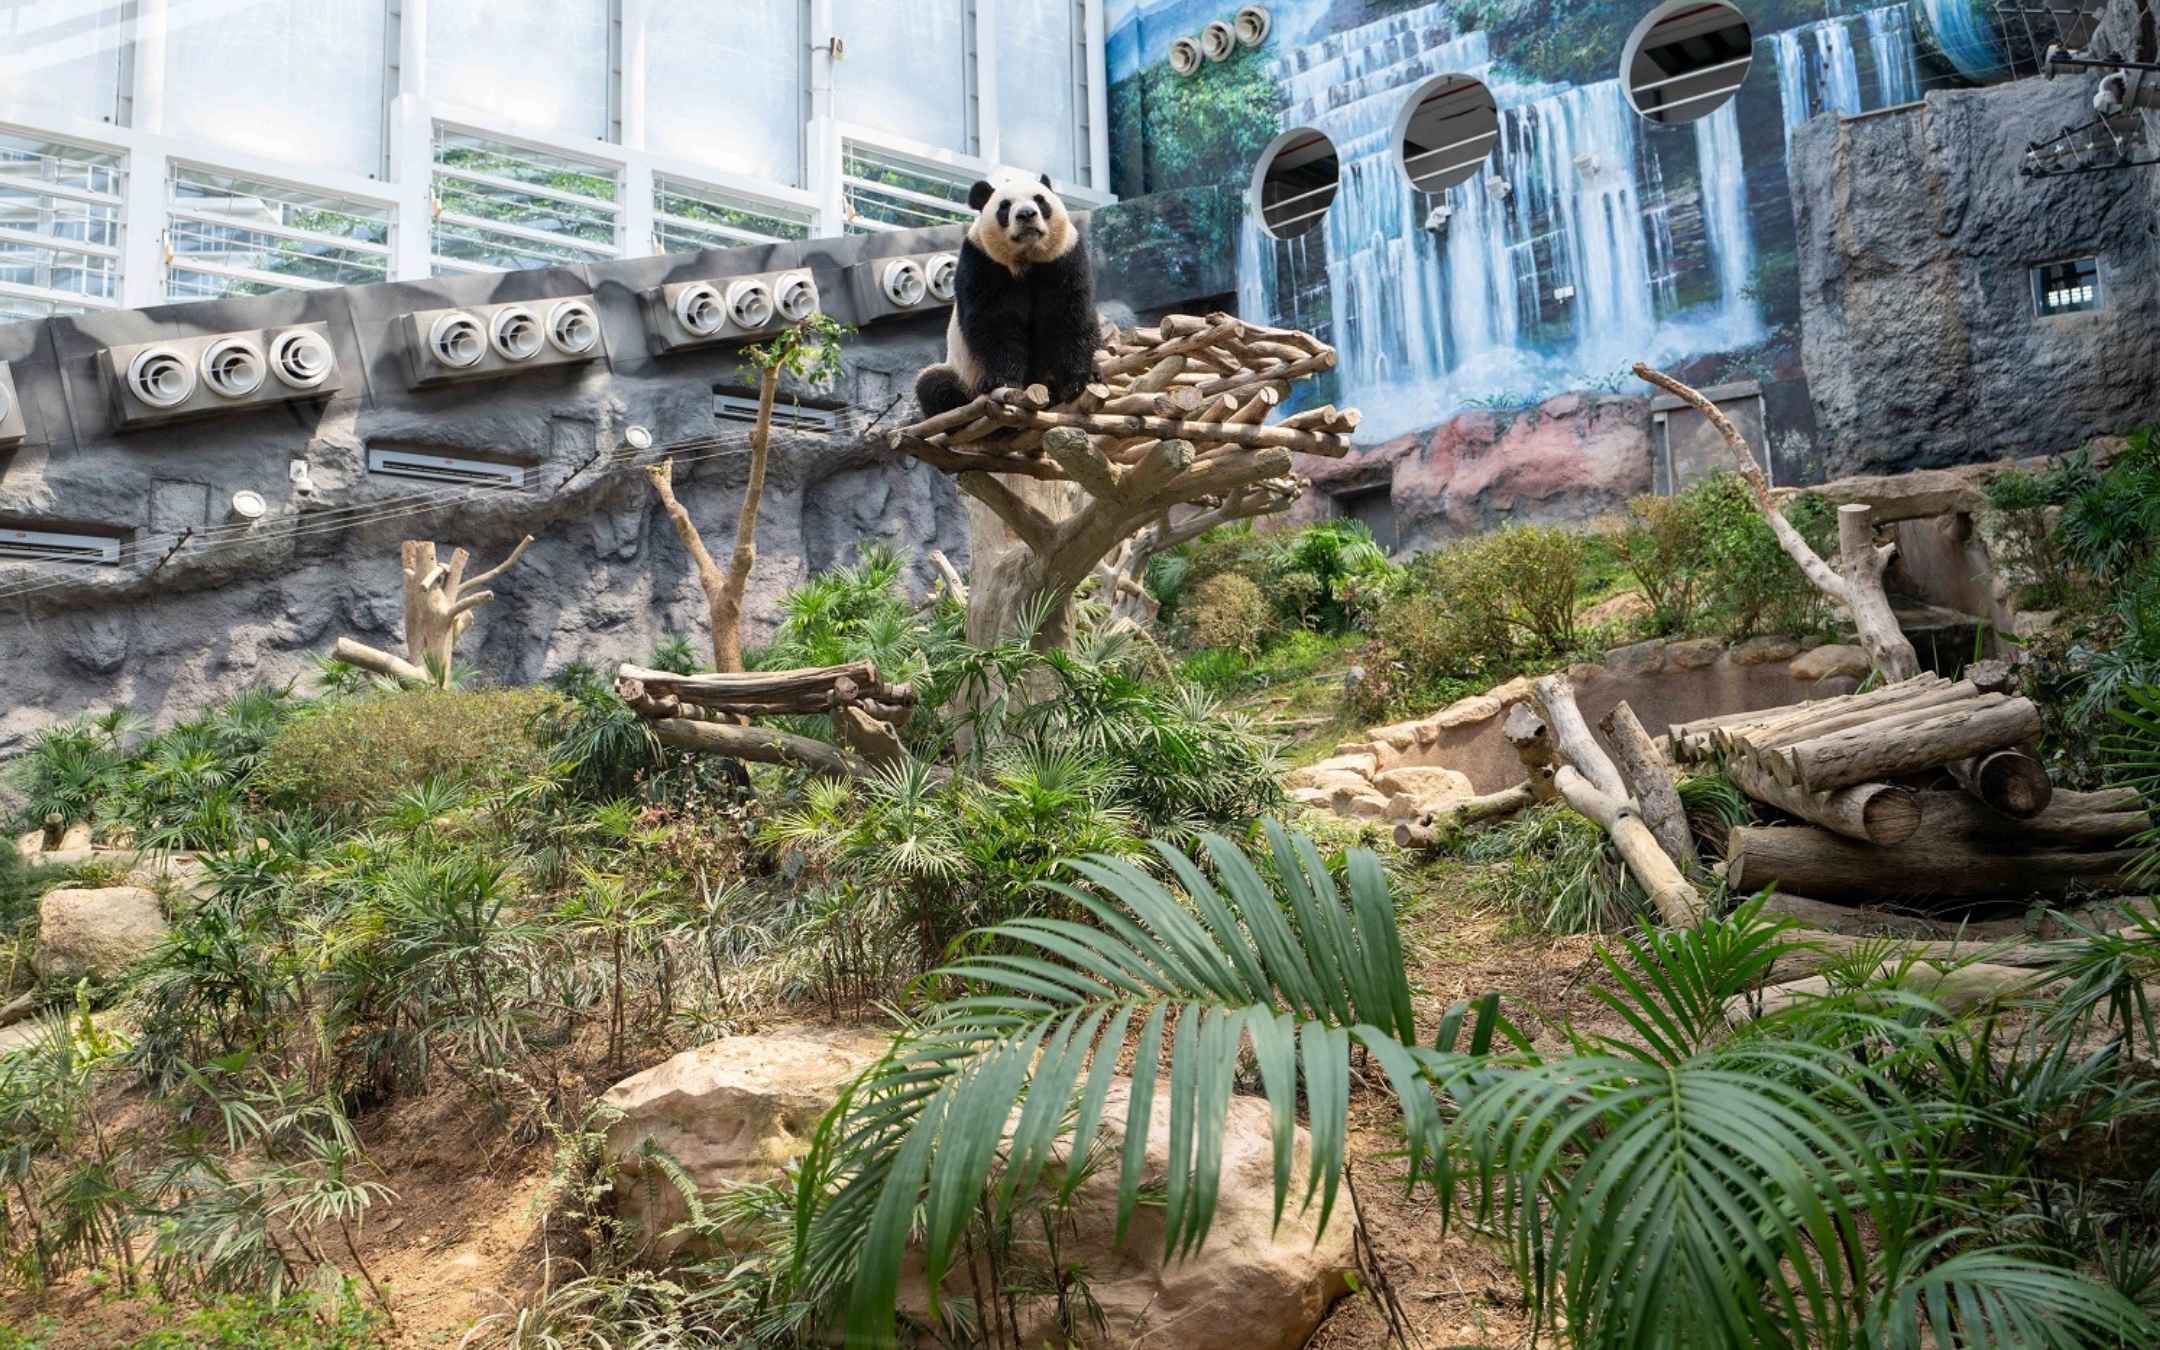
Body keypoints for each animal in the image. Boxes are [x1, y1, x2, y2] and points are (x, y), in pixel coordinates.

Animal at [913, 170, 1098, 418]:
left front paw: (1079, 381)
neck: (1026, 258)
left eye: (1040, 199)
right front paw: (1002, 381)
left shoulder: (1064, 258)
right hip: (963, 372)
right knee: (934, 384)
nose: (1026, 214)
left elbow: (1069, 316)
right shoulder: (983, 262)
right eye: (1004, 206)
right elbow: (995, 323)